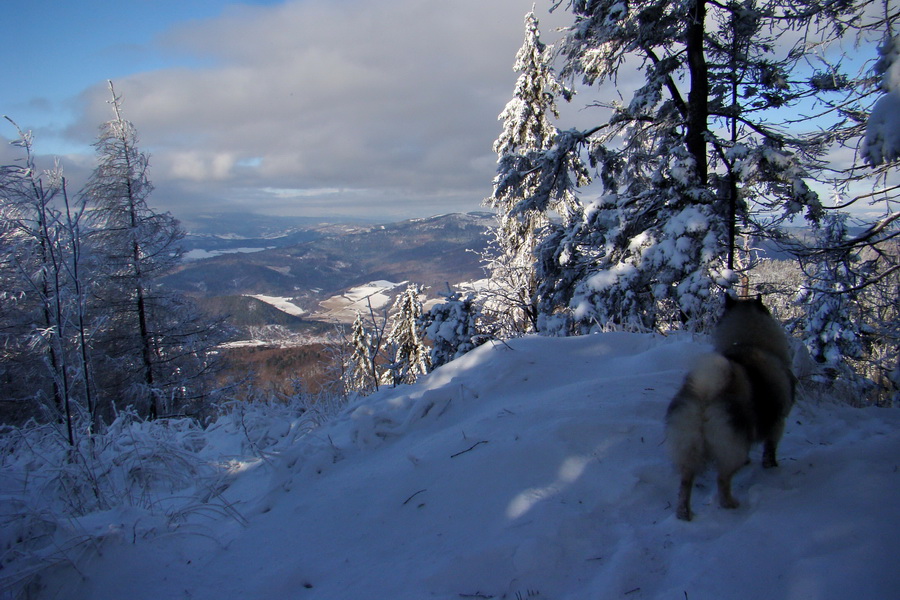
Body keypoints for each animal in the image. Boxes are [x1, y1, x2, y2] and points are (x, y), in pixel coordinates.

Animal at [664, 296, 800, 520]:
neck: (749, 341)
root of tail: (706, 392)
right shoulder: (778, 423)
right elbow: (770, 450)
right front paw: (771, 467)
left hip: (688, 447)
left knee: (685, 483)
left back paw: (684, 513)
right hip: (733, 447)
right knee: (722, 479)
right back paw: (730, 504)